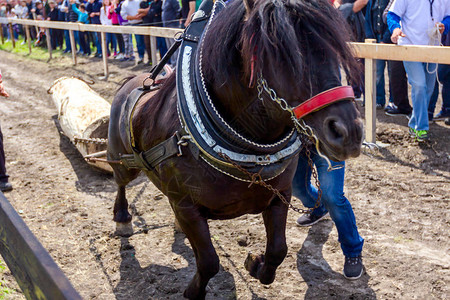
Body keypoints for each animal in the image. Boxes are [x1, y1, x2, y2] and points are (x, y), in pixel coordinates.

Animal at [107, 0, 364, 298]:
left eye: (334, 47)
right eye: (278, 51)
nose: (348, 132)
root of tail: (130, 82)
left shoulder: (280, 196)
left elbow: (278, 250)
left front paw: (255, 265)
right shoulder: (184, 205)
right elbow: (209, 261)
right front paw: (193, 292)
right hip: (121, 159)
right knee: (120, 181)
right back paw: (122, 219)